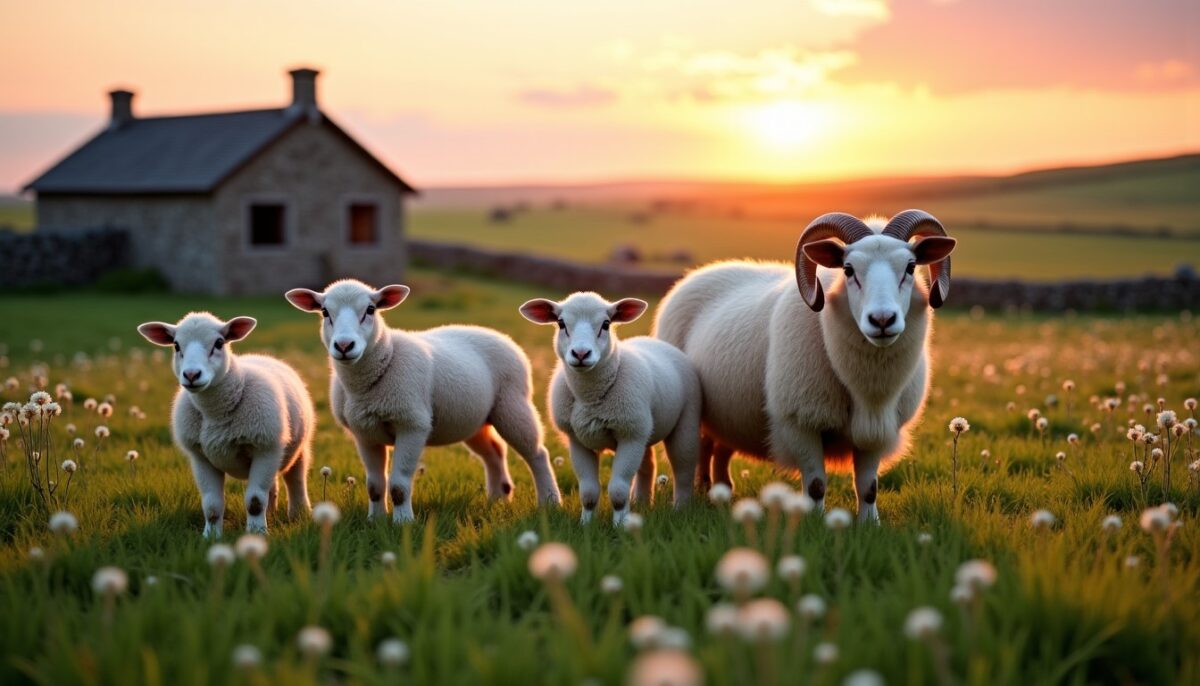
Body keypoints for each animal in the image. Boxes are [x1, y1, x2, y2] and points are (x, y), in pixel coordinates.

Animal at [137, 313, 314, 538]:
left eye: (219, 343)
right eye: (176, 345)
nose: (192, 375)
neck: (216, 414)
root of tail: (263, 356)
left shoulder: (266, 447)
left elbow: (255, 501)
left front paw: (256, 533)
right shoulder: (201, 457)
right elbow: (211, 505)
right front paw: (211, 536)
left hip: (296, 447)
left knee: (296, 479)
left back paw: (299, 514)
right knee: (271, 486)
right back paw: (272, 513)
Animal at [285, 279, 563, 522]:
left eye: (370, 310)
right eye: (324, 312)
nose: (344, 346)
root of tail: (500, 335)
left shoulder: (412, 424)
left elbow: (398, 486)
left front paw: (403, 522)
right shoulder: (364, 432)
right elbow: (374, 485)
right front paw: (375, 520)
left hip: (513, 403)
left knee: (537, 454)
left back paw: (550, 501)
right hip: (474, 418)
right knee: (494, 452)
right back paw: (498, 497)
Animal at [520, 292, 701, 525]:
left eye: (606, 324)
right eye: (561, 323)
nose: (581, 353)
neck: (591, 398)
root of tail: (654, 341)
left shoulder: (629, 435)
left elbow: (618, 491)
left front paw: (620, 525)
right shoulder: (578, 440)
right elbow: (588, 492)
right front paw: (587, 524)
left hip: (684, 419)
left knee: (684, 465)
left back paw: (681, 508)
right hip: (643, 429)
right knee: (648, 466)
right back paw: (641, 503)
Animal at [653, 210, 956, 523]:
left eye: (910, 267)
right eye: (848, 270)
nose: (882, 320)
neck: (866, 389)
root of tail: (696, 273)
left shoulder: (876, 432)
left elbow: (868, 488)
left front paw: (870, 524)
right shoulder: (799, 422)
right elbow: (815, 485)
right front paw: (813, 522)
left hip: (731, 414)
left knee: (721, 450)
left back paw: (722, 493)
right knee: (703, 447)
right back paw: (702, 493)